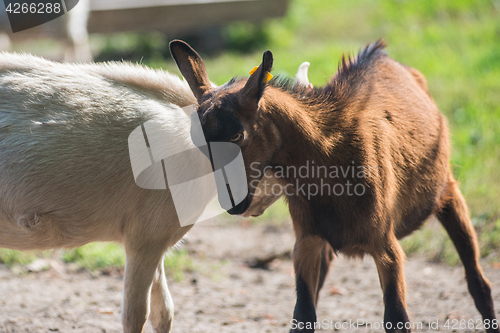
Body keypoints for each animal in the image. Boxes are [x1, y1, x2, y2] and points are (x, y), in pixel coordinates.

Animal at [170, 39, 498, 332]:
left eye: (237, 135)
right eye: (197, 142)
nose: (234, 204)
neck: (330, 163)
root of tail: (383, 54)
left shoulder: (386, 247)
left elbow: (397, 318)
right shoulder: (306, 242)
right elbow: (302, 315)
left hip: (448, 192)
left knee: (478, 282)